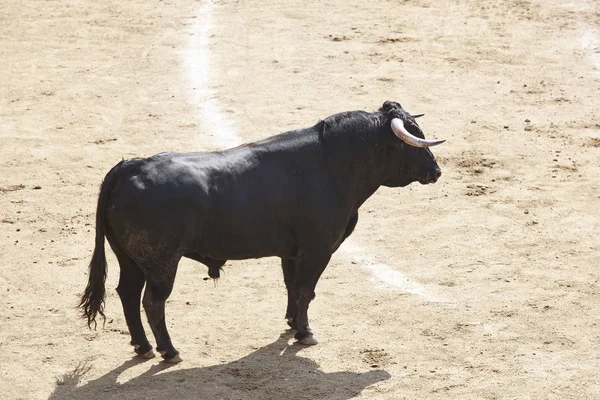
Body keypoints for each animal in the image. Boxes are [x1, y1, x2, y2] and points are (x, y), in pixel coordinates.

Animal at [79, 101, 442, 362]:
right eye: (413, 142)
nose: (436, 171)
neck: (335, 163)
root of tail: (130, 167)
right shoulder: (318, 249)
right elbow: (306, 290)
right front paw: (305, 333)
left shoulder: (291, 252)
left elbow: (292, 287)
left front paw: (292, 324)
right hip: (161, 262)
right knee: (153, 302)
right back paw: (169, 351)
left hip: (129, 259)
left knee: (127, 293)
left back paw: (143, 347)